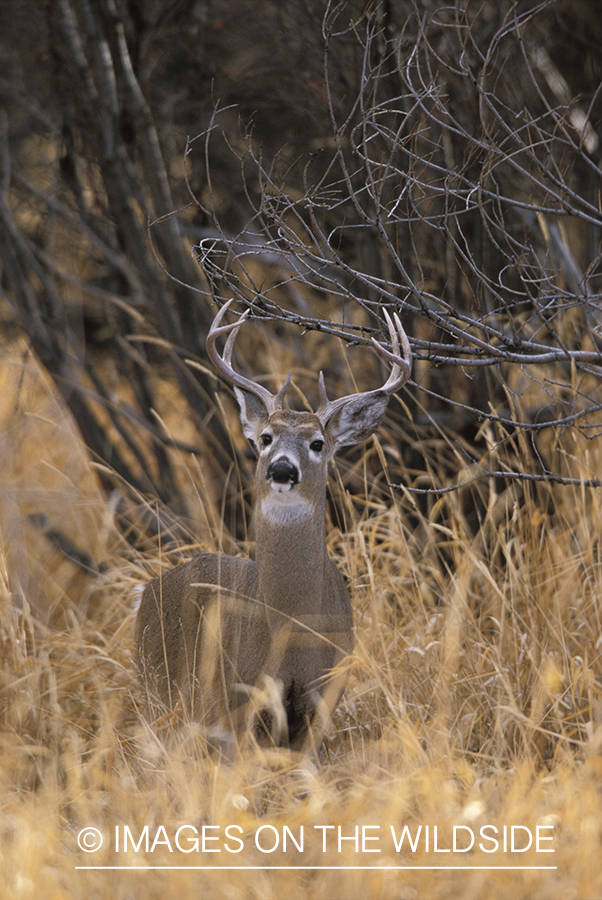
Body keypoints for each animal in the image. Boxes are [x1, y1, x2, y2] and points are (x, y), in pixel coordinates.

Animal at [135, 300, 411, 753]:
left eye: (318, 443)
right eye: (265, 438)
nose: (282, 468)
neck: (292, 632)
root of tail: (146, 591)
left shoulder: (322, 700)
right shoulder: (240, 701)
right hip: (156, 687)